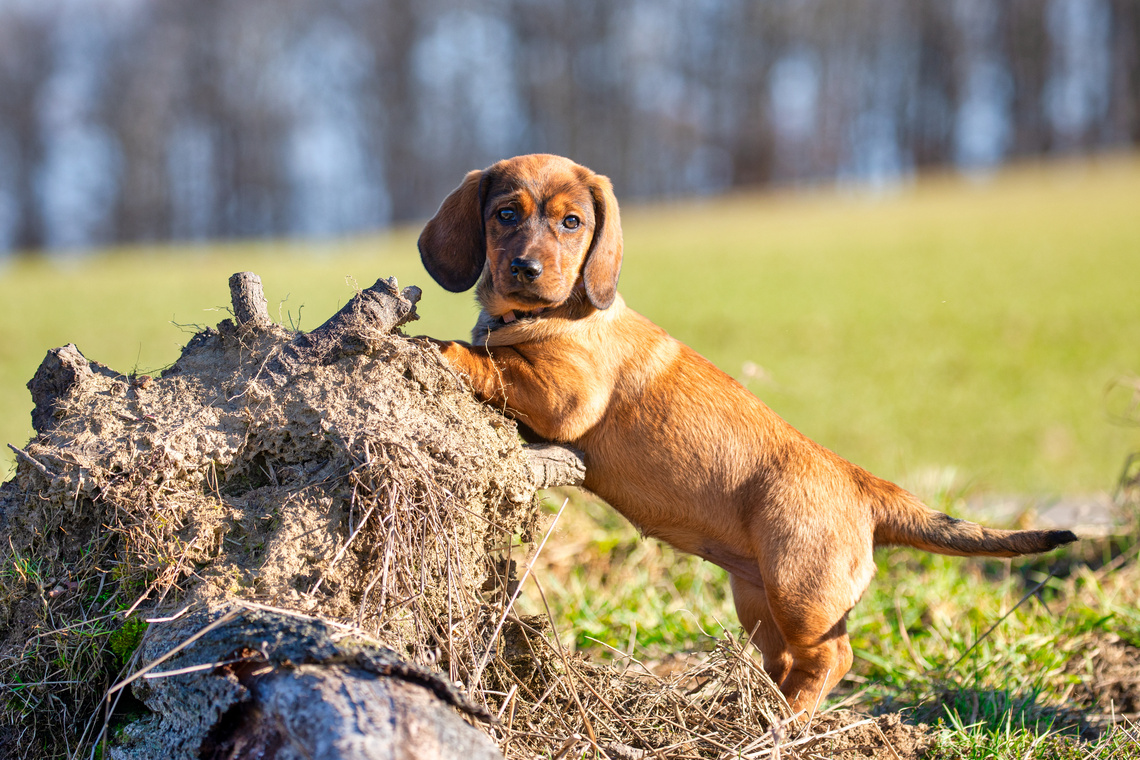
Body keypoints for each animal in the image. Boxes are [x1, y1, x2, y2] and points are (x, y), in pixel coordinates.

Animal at [419, 152, 1076, 715]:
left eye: (571, 222)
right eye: (506, 214)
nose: (525, 269)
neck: (545, 316)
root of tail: (863, 484)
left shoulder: (563, 395)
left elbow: (491, 362)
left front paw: (436, 348)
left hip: (799, 591)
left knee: (833, 657)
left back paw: (786, 720)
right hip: (759, 598)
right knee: (788, 658)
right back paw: (761, 709)